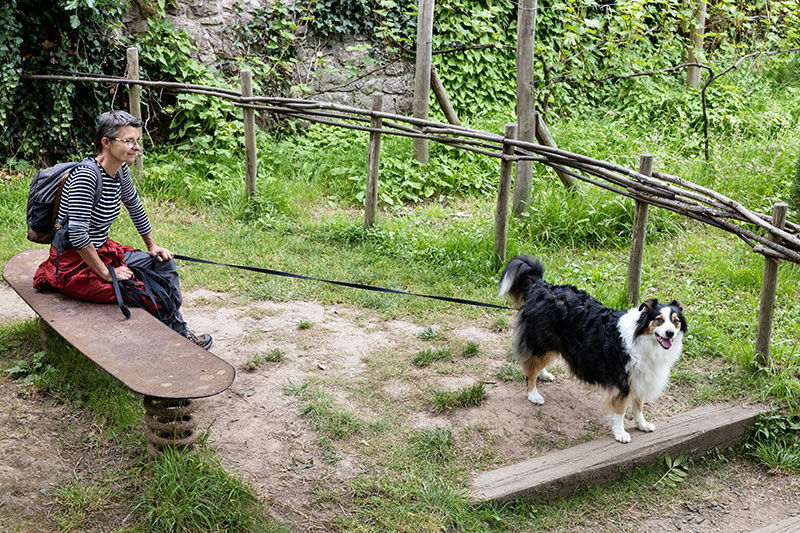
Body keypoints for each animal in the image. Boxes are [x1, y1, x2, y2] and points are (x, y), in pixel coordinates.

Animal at [496, 254, 684, 440]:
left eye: (676, 321)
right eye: (659, 320)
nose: (670, 333)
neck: (643, 339)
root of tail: (541, 286)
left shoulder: (642, 377)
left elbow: (639, 406)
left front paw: (642, 424)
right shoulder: (623, 380)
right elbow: (621, 410)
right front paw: (620, 433)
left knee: (536, 363)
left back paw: (543, 374)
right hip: (541, 341)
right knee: (531, 368)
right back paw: (533, 394)